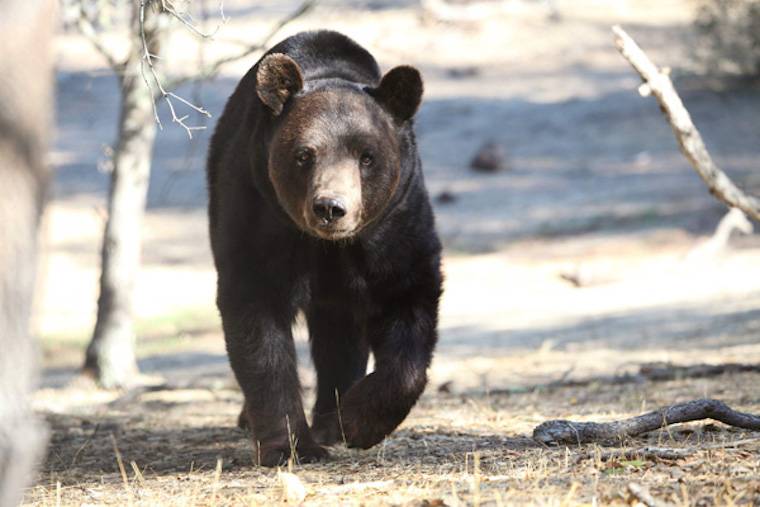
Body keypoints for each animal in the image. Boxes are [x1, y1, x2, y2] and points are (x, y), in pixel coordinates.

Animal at [206, 30, 442, 466]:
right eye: (304, 154)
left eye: (368, 156)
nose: (331, 207)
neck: (326, 246)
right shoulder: (260, 219)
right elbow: (258, 325)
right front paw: (290, 446)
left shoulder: (395, 227)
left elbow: (408, 303)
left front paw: (359, 420)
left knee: (339, 334)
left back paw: (333, 420)